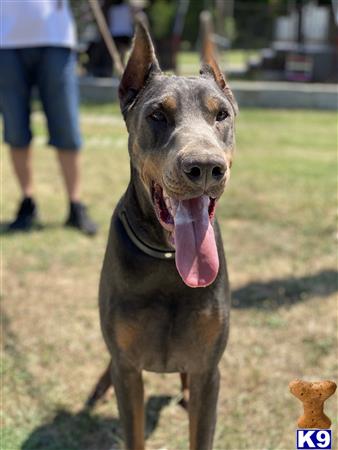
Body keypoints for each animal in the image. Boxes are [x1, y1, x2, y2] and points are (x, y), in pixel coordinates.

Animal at [88, 21, 239, 450]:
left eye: (221, 114)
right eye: (157, 114)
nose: (204, 167)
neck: (169, 259)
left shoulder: (209, 369)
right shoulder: (128, 370)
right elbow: (133, 429)